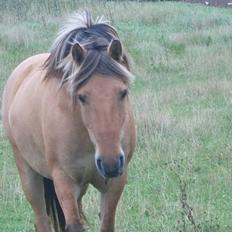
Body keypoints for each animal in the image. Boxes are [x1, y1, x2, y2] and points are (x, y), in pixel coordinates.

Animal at [1, 10, 136, 232]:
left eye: (123, 92)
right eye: (82, 97)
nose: (110, 163)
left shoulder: (114, 183)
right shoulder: (64, 180)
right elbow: (72, 224)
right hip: (29, 174)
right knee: (41, 219)